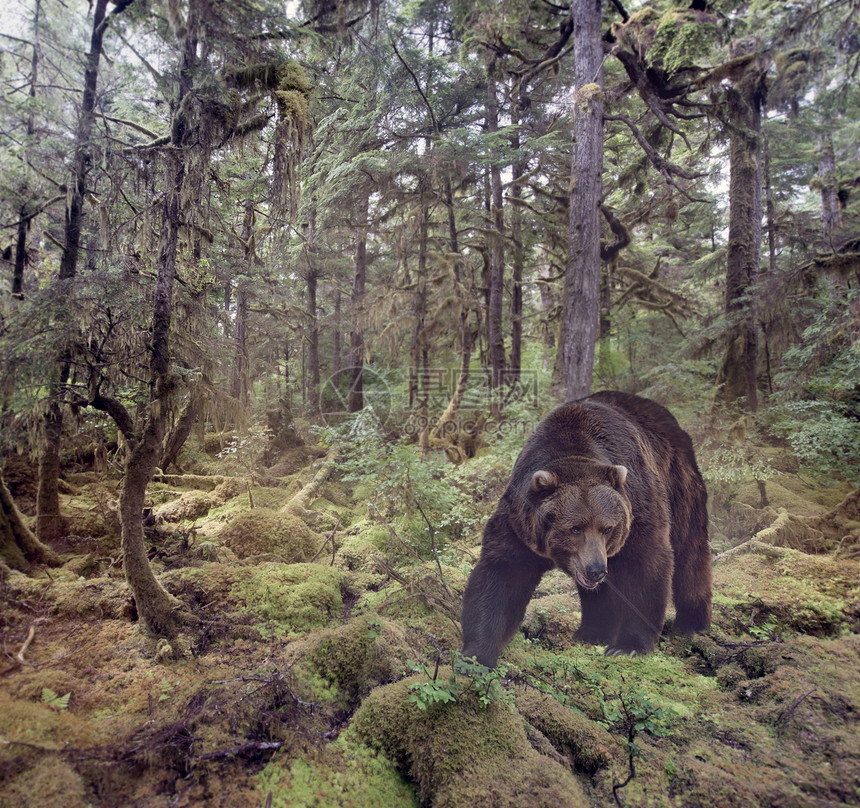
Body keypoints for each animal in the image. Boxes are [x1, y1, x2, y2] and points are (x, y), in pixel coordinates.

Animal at [464, 388, 712, 664]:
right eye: (575, 528)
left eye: (608, 528)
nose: (596, 570)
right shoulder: (520, 523)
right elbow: (502, 575)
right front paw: (477, 655)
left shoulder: (637, 505)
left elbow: (645, 564)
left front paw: (628, 646)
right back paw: (592, 632)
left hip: (678, 482)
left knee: (690, 551)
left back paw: (692, 623)